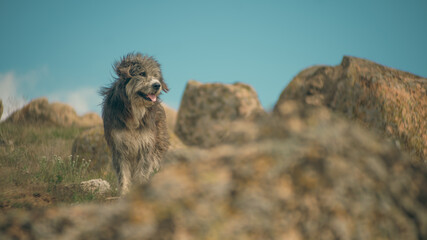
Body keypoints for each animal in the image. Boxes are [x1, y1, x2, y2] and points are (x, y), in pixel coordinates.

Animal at [101, 52, 170, 195]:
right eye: (142, 73)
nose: (157, 85)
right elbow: (123, 175)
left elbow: (142, 173)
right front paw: (123, 193)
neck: (135, 111)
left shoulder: (146, 146)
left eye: (156, 76)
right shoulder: (119, 148)